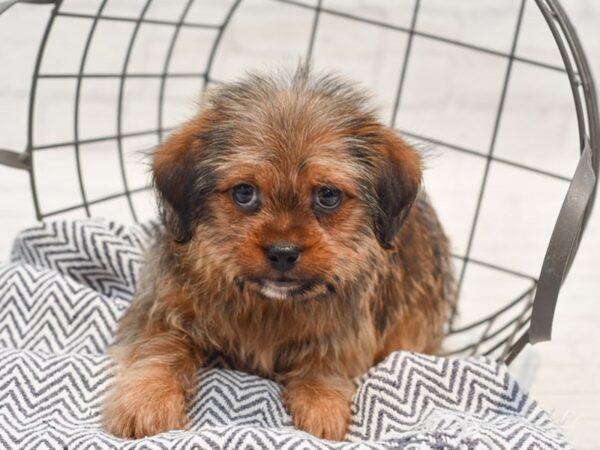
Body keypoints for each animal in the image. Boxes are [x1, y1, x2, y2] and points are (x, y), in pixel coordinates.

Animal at [102, 66, 454, 440]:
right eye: (244, 192)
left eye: (328, 196)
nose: (283, 253)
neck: (269, 305)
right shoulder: (161, 308)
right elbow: (160, 348)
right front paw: (148, 399)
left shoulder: (345, 334)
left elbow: (324, 362)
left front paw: (322, 405)